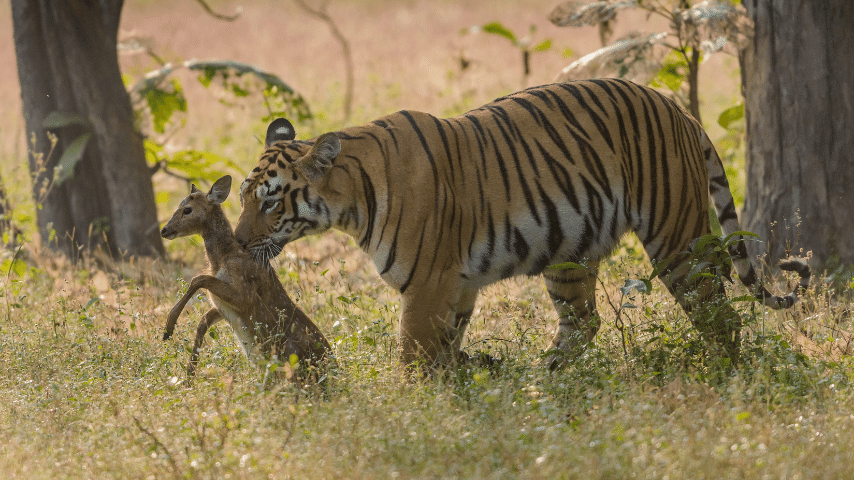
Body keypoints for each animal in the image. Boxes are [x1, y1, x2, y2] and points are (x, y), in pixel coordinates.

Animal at [232, 79, 808, 370]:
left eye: (271, 202)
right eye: (240, 198)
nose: (236, 241)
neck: (351, 201)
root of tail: (676, 107)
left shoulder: (428, 286)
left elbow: (413, 358)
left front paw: (414, 416)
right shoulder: (455, 287)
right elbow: (445, 353)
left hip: (677, 240)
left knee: (718, 315)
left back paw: (726, 378)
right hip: (570, 250)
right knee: (584, 323)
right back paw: (544, 381)